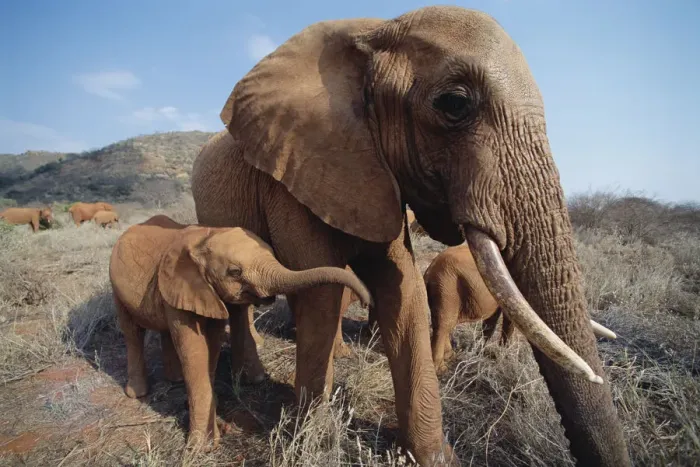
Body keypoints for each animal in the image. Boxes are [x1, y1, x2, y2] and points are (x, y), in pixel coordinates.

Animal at [109, 214, 371, 449]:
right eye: (234, 272)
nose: (367, 300)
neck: (205, 237)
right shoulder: (183, 285)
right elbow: (194, 349)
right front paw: (200, 448)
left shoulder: (205, 293)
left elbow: (211, 345)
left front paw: (210, 431)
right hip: (116, 287)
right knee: (132, 333)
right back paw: (138, 393)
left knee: (164, 331)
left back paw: (174, 379)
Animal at [426, 244, 617, 373]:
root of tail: (429, 271)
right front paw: (502, 353)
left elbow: (492, 320)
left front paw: (481, 350)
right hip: (447, 288)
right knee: (444, 325)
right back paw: (441, 369)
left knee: (444, 324)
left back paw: (450, 357)